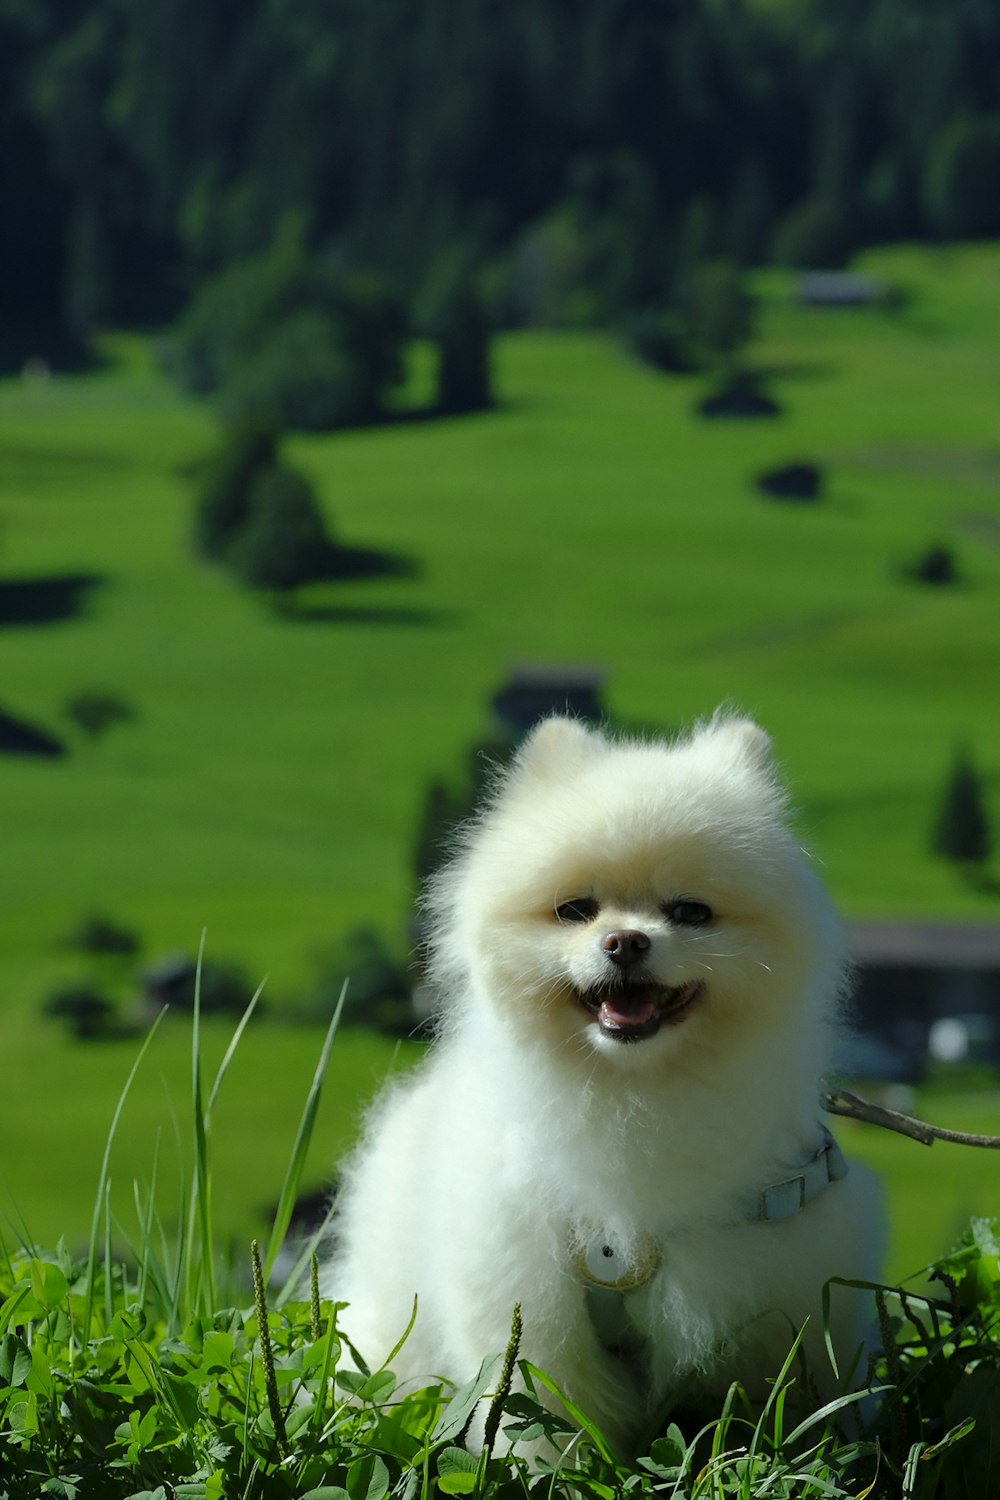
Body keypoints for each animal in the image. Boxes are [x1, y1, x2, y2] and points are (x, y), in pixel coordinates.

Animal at [322, 714, 881, 1452]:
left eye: (690, 912)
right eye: (576, 909)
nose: (625, 941)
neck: (631, 1101)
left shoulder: (777, 1299)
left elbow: (771, 1415)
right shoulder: (528, 1307)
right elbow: (544, 1424)